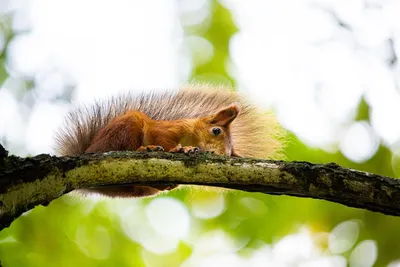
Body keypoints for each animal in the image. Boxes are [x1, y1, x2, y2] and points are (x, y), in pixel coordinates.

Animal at [55, 85, 284, 198]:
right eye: (216, 130)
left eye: (229, 153)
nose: (217, 155)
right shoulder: (166, 130)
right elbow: (163, 139)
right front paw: (179, 149)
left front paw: (189, 149)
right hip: (124, 130)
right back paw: (145, 148)